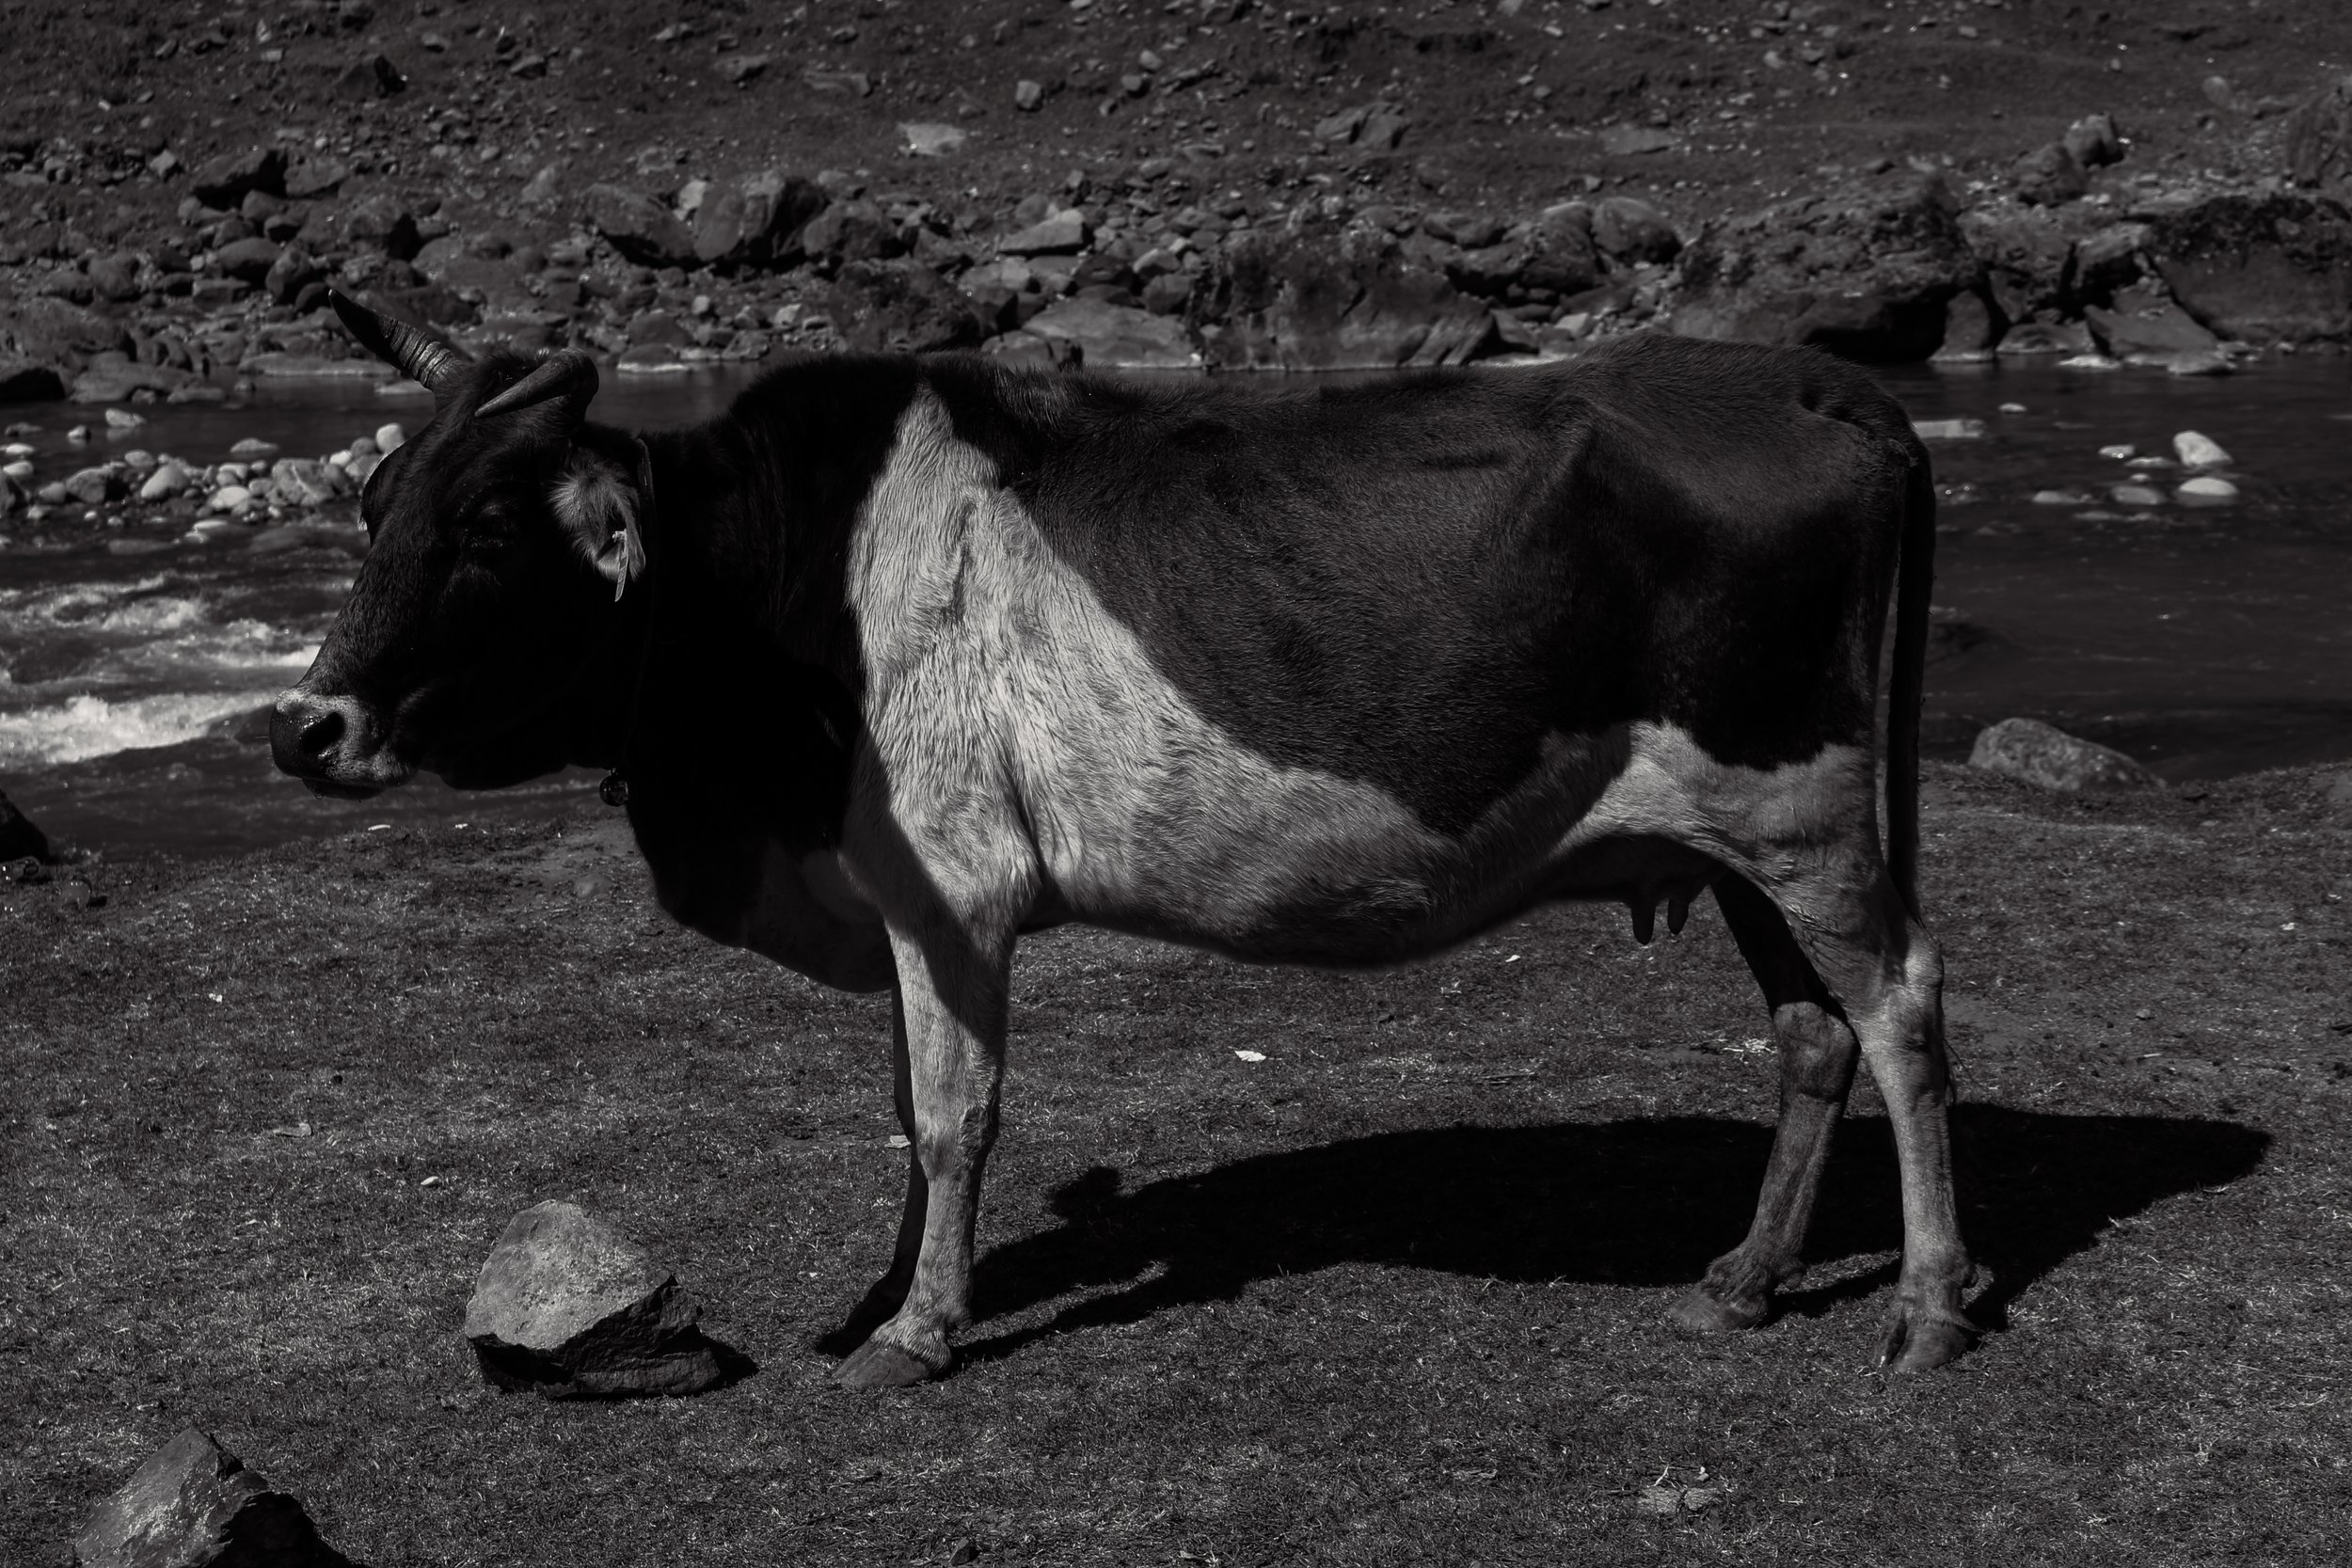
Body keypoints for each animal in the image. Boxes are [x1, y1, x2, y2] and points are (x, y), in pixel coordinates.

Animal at [274, 293, 1975, 1390]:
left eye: (489, 523)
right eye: (373, 499)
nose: (304, 730)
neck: (781, 590)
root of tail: (1825, 390)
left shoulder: (952, 884)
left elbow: (953, 1113)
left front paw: (916, 1333)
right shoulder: (900, 898)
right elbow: (908, 1107)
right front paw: (898, 1286)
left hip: (1808, 815)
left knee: (1900, 1007)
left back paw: (1934, 1308)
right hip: (1737, 839)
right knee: (1813, 1032)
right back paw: (1744, 1281)